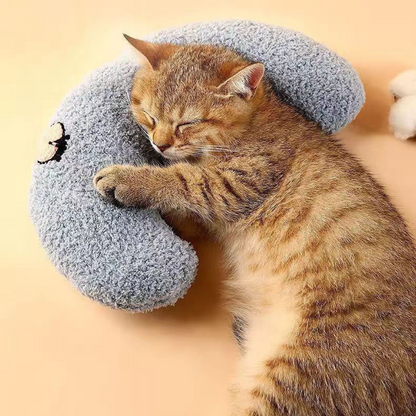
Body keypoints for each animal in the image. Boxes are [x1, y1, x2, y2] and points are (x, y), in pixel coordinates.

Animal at [94, 37, 416, 414]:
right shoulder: (207, 214)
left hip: (294, 378)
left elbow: (183, 179)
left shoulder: (237, 182)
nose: (159, 144)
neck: (255, 119)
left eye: (187, 123)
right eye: (149, 115)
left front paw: (129, 180)